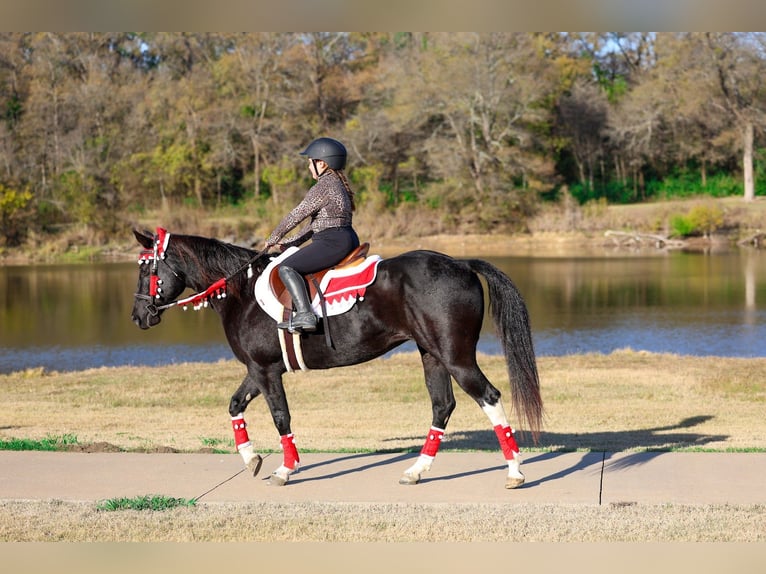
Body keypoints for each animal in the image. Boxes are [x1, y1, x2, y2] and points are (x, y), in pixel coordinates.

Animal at [131, 228, 543, 488]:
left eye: (146, 267)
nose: (138, 317)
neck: (242, 293)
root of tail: (461, 263)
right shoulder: (258, 369)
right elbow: (235, 406)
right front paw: (251, 459)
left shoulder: (266, 371)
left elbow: (281, 417)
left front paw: (285, 469)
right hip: (433, 355)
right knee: (442, 406)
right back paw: (417, 470)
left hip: (457, 357)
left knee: (489, 397)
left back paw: (514, 472)